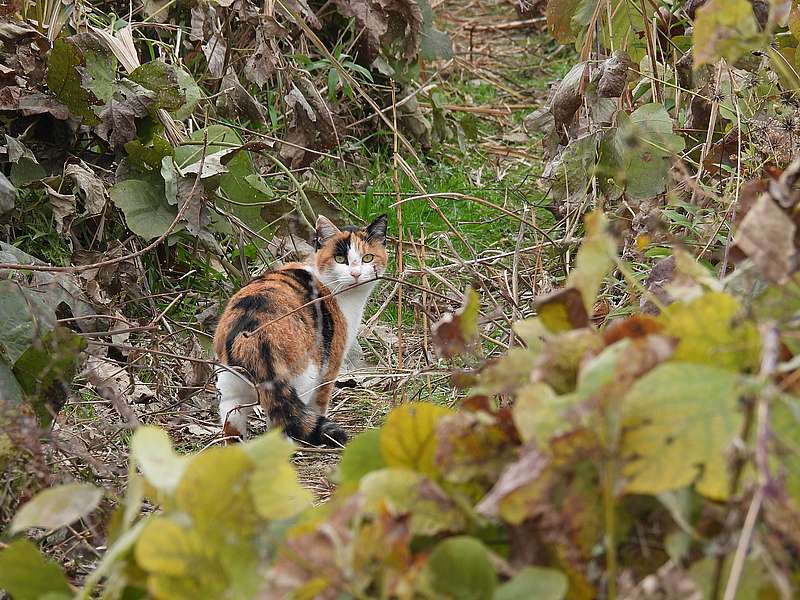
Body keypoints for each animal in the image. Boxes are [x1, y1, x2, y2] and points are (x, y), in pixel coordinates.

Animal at [212, 214, 388, 446]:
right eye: (340, 259)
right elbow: (320, 404)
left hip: (229, 387)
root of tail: (252, 333)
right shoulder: (330, 365)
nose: (356, 274)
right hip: (305, 375)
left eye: (367, 258)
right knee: (283, 422)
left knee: (232, 424)